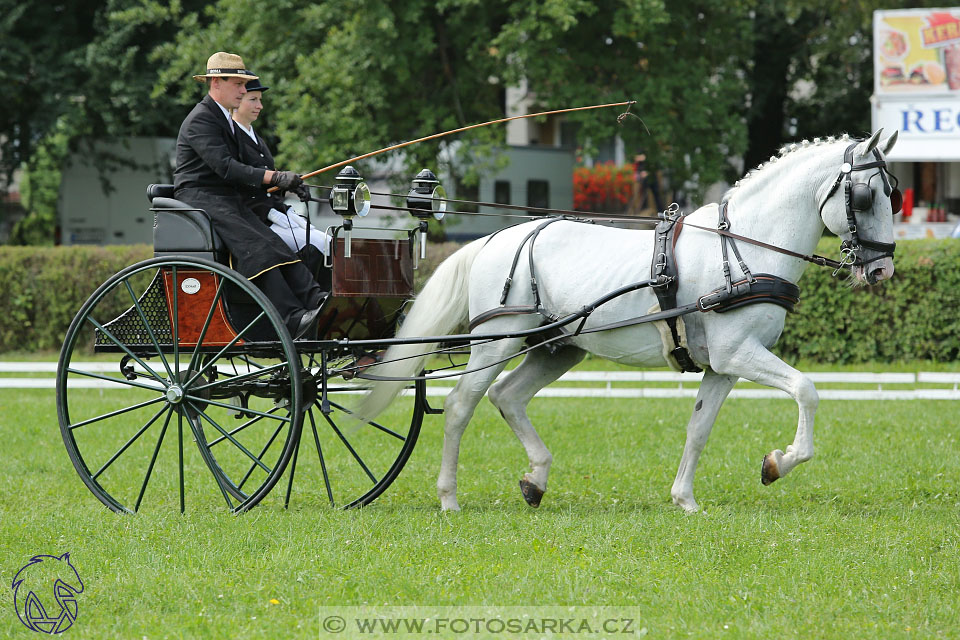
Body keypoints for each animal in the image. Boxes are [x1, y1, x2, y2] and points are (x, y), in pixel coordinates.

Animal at [358, 129, 900, 510]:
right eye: (868, 196)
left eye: (894, 193)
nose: (881, 270)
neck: (743, 246)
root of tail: (491, 239)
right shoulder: (738, 353)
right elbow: (806, 389)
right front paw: (779, 463)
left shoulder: (722, 366)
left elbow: (699, 428)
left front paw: (685, 499)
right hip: (496, 342)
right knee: (460, 405)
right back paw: (448, 497)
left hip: (559, 348)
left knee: (507, 396)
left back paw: (536, 480)